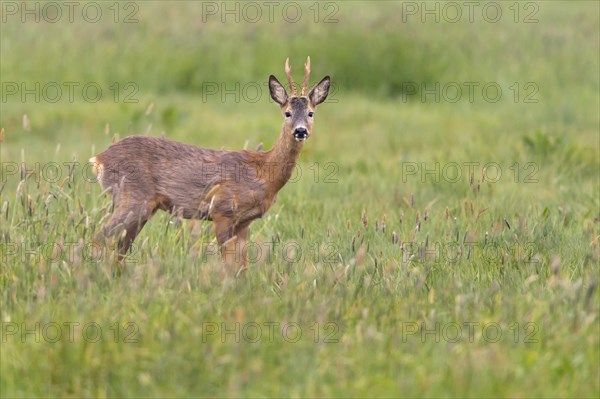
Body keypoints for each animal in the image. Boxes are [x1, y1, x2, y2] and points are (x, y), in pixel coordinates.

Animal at [91, 57, 330, 276]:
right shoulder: (221, 210)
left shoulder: (244, 222)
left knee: (119, 247)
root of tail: (98, 159)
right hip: (132, 198)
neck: (263, 172)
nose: (300, 131)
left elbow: (243, 266)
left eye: (311, 113)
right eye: (287, 113)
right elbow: (228, 264)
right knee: (100, 238)